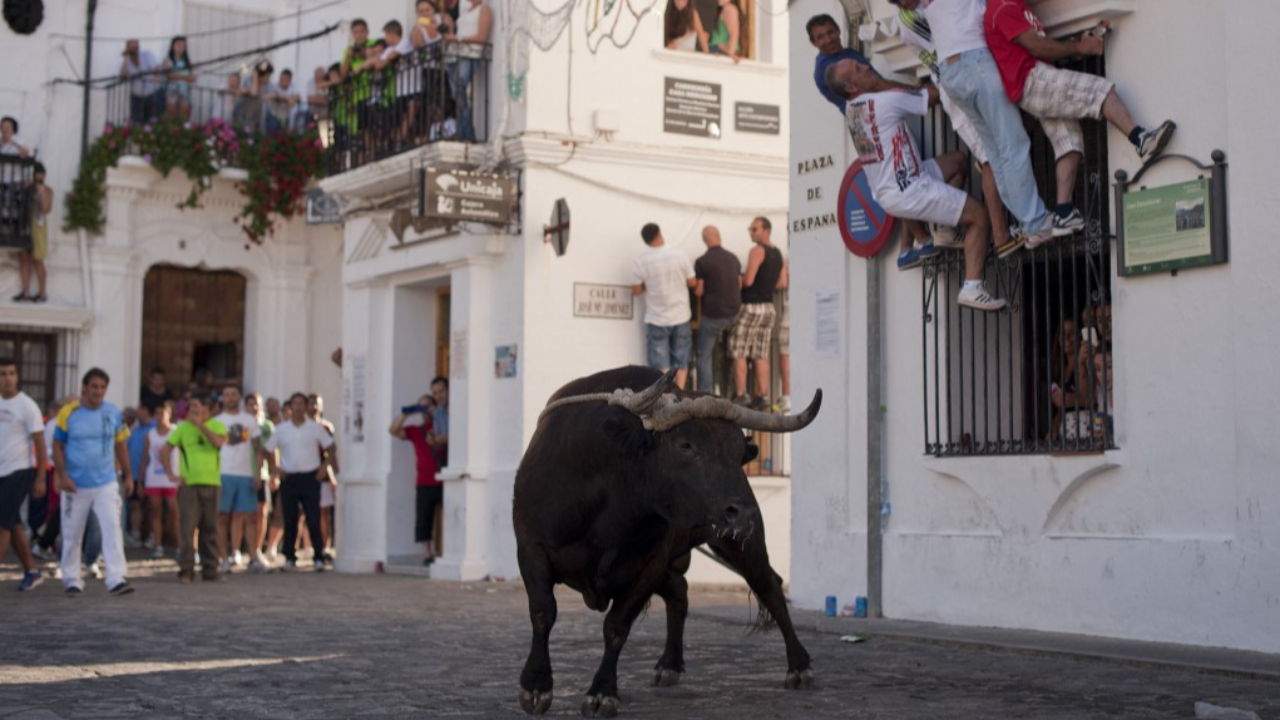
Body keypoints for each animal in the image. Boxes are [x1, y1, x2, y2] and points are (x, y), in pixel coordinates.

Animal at [514, 366, 824, 712]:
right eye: (685, 445)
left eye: (737, 451)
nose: (743, 513)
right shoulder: (530, 546)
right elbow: (543, 611)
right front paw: (536, 685)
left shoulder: (648, 564)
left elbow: (617, 626)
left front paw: (602, 692)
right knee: (680, 592)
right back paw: (670, 665)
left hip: (740, 544)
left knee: (769, 586)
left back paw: (799, 666)